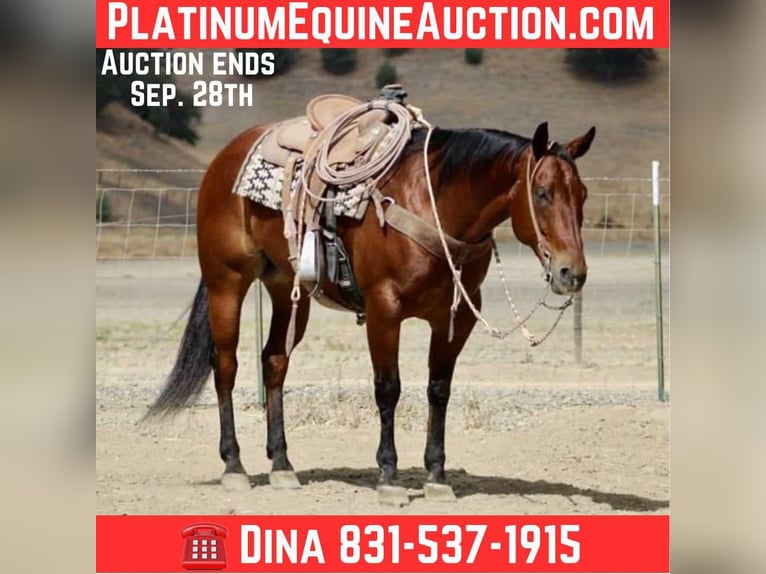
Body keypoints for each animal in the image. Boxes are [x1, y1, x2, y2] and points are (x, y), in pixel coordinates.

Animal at [146, 118, 596, 501]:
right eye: (542, 193)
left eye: (583, 195)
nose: (571, 272)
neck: (434, 205)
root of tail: (227, 155)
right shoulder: (384, 311)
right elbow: (388, 388)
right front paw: (389, 476)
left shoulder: (456, 318)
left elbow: (439, 389)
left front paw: (436, 476)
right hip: (227, 282)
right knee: (225, 366)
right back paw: (235, 466)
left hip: (285, 289)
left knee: (274, 362)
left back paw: (282, 465)